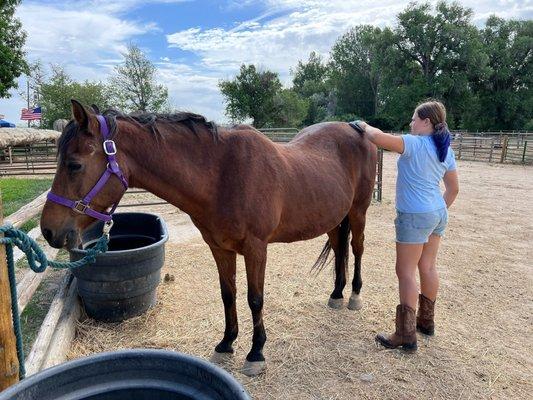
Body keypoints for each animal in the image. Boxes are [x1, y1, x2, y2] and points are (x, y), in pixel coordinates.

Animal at [39, 100, 376, 376]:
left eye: (74, 164)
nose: (48, 231)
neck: (222, 174)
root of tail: (356, 130)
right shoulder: (219, 248)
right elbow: (228, 295)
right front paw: (226, 344)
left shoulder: (256, 248)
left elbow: (255, 298)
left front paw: (256, 353)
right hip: (333, 219)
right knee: (340, 250)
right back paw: (336, 294)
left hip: (358, 212)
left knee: (357, 249)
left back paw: (354, 296)